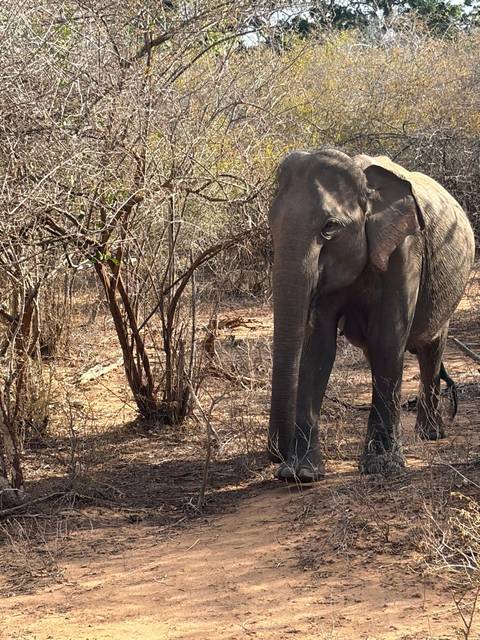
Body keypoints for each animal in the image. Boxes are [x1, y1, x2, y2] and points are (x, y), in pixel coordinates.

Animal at [268, 148, 475, 482]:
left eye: (329, 227)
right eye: (271, 225)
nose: (277, 455)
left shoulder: (404, 251)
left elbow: (387, 340)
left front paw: (382, 468)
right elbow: (318, 346)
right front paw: (301, 474)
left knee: (431, 347)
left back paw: (430, 435)